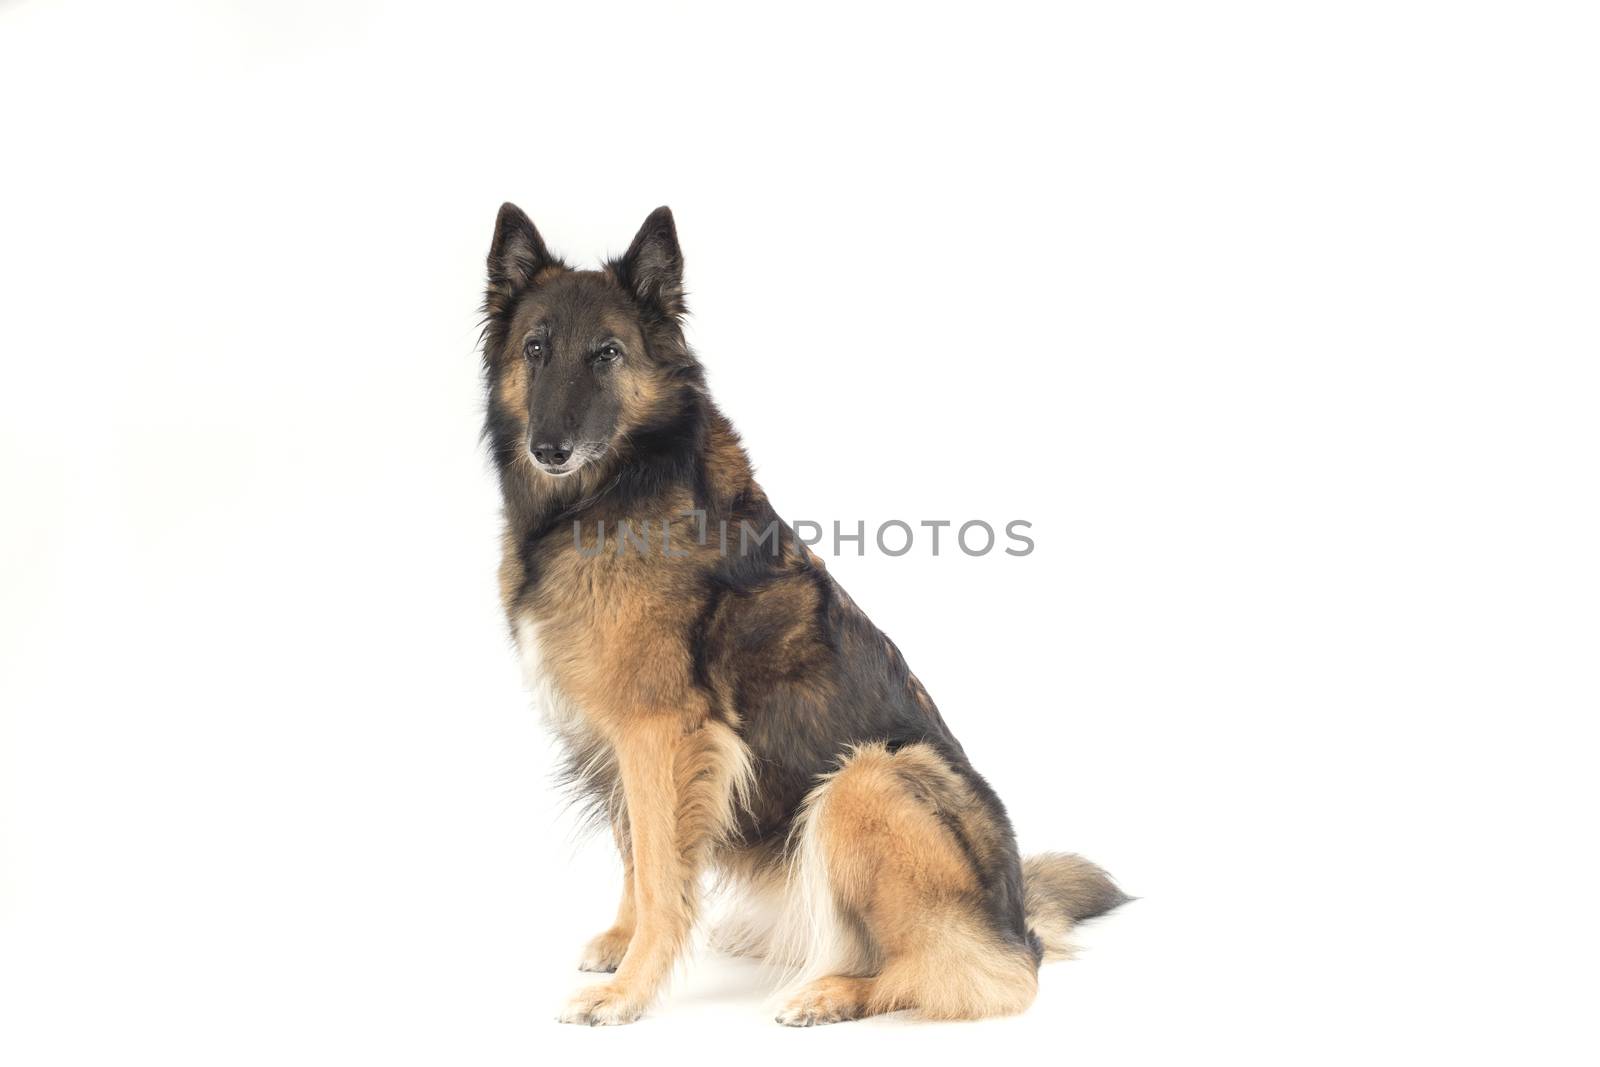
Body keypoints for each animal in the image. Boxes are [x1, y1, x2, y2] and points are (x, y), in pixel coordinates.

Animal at [480, 202, 1120, 1023]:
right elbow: (635, 853)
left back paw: (831, 991)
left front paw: (629, 989)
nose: (550, 448)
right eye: (536, 349)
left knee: (972, 974)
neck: (616, 485)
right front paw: (623, 946)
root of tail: (1018, 924)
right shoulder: (622, 737)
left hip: (868, 778)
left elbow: (659, 872)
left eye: (607, 354)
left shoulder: (661, 730)